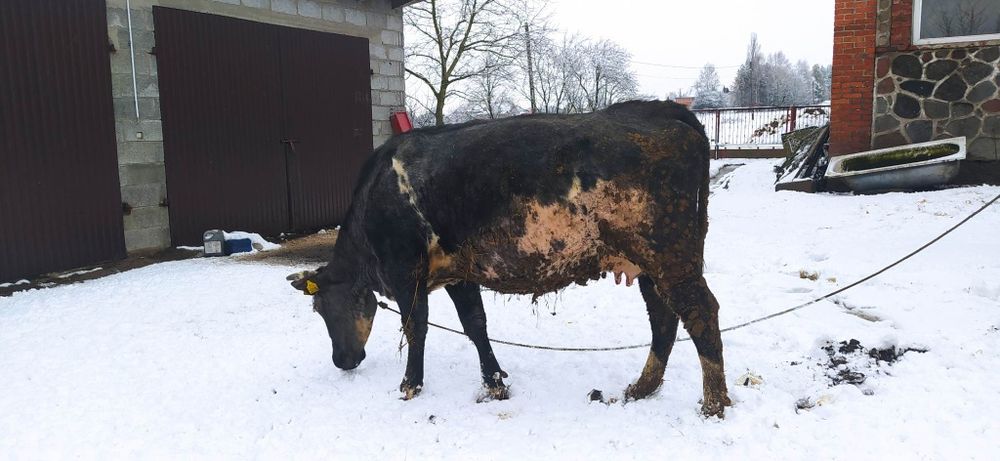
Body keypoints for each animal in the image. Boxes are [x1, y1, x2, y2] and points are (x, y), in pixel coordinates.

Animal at [286, 99, 732, 416]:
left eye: (320, 307)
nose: (342, 361)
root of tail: (661, 108)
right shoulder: (458, 271)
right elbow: (475, 324)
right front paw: (495, 382)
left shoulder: (404, 268)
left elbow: (416, 327)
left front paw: (410, 385)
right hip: (649, 261)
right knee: (664, 317)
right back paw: (642, 389)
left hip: (667, 251)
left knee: (700, 311)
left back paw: (713, 404)